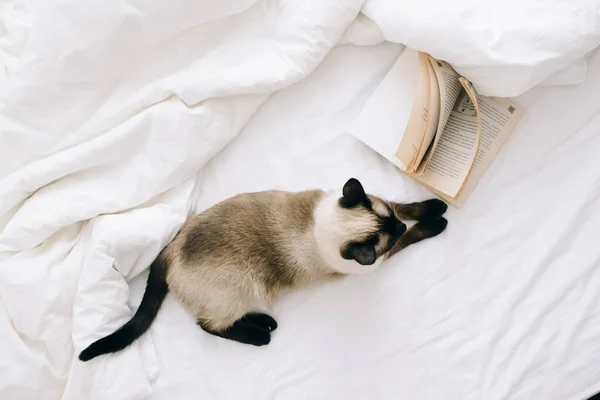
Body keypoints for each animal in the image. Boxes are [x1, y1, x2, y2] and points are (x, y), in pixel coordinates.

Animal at [78, 177, 446, 360]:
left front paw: (435, 206)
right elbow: (414, 236)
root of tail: (168, 251)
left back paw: (266, 323)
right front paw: (437, 224)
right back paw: (260, 335)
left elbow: (410, 205)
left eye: (391, 221)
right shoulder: (383, 257)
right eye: (389, 235)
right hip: (243, 286)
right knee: (209, 325)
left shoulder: (390, 205)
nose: (398, 227)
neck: (321, 227)